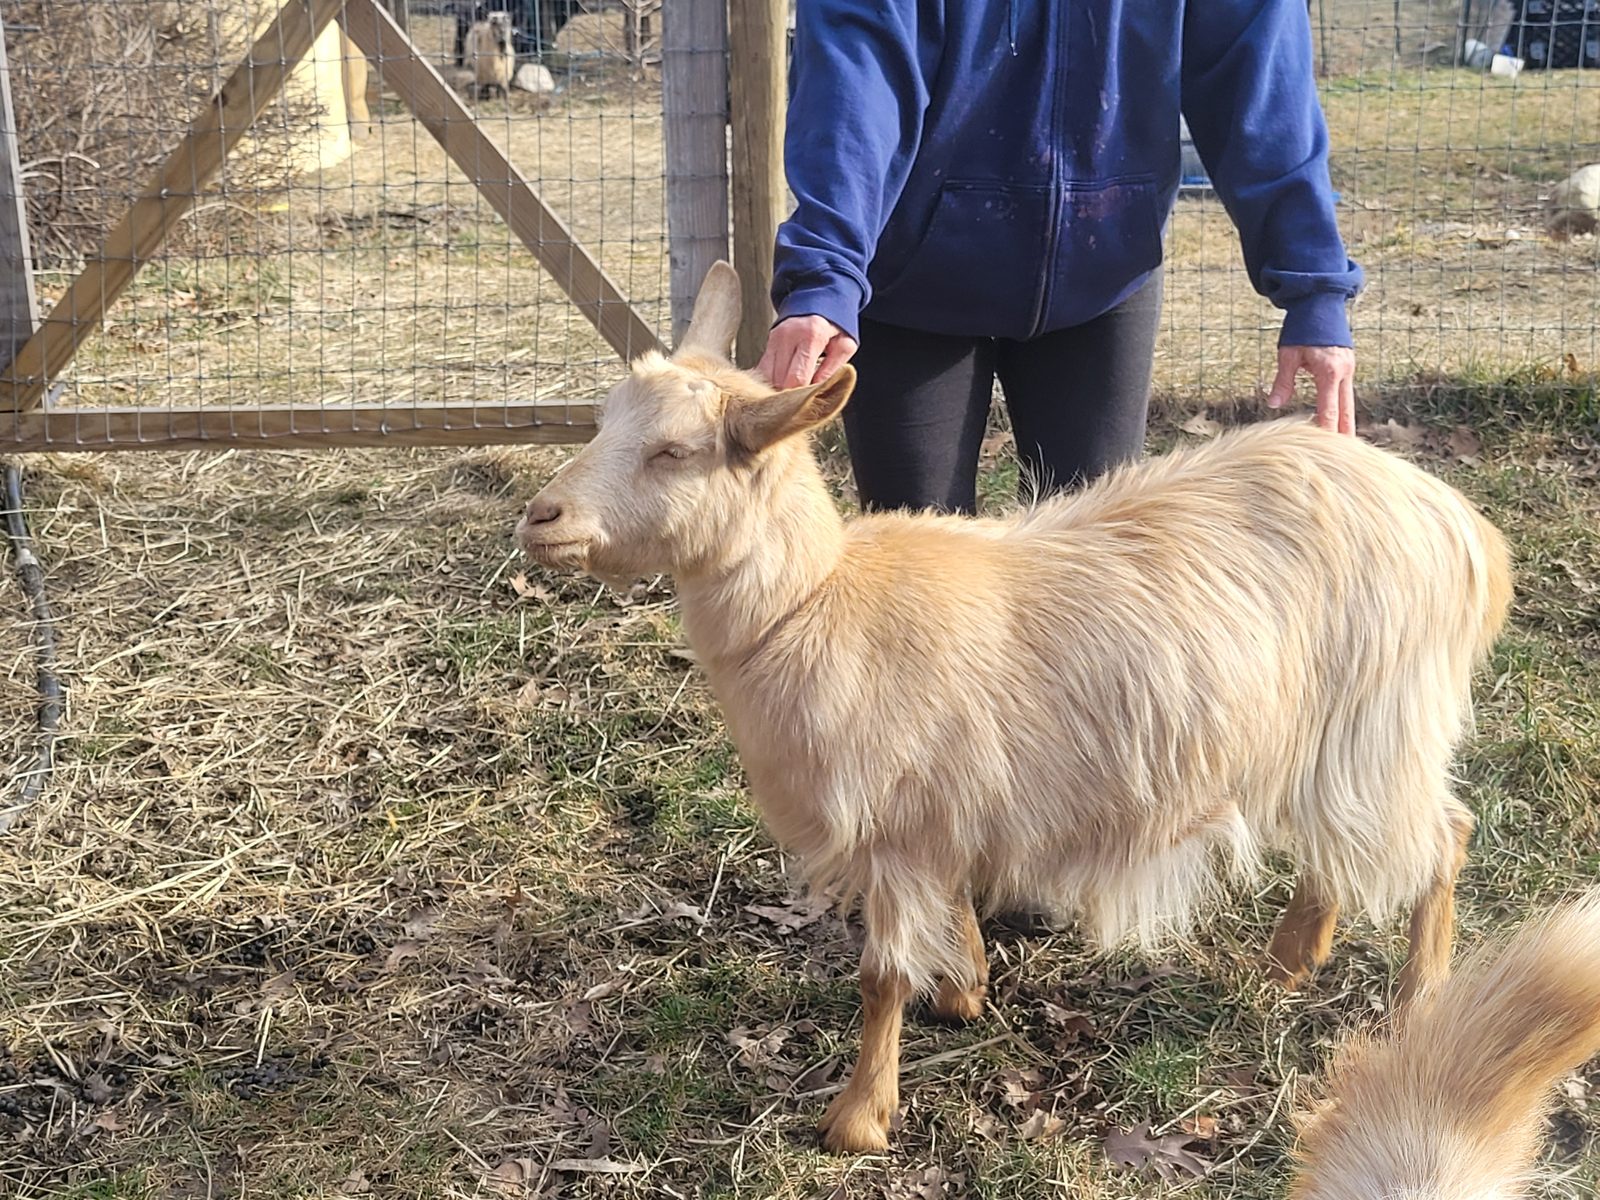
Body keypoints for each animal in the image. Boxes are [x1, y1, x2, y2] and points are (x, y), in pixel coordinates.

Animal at [515, 262, 1512, 1153]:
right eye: (604, 421)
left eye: (674, 452)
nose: (541, 517)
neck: (819, 605)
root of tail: (1460, 522)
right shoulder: (938, 813)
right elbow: (949, 915)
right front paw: (965, 990)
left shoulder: (899, 827)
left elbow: (880, 979)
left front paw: (858, 1119)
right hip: (1326, 730)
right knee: (1345, 842)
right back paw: (1293, 957)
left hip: (1384, 720)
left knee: (1440, 838)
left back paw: (1419, 1000)